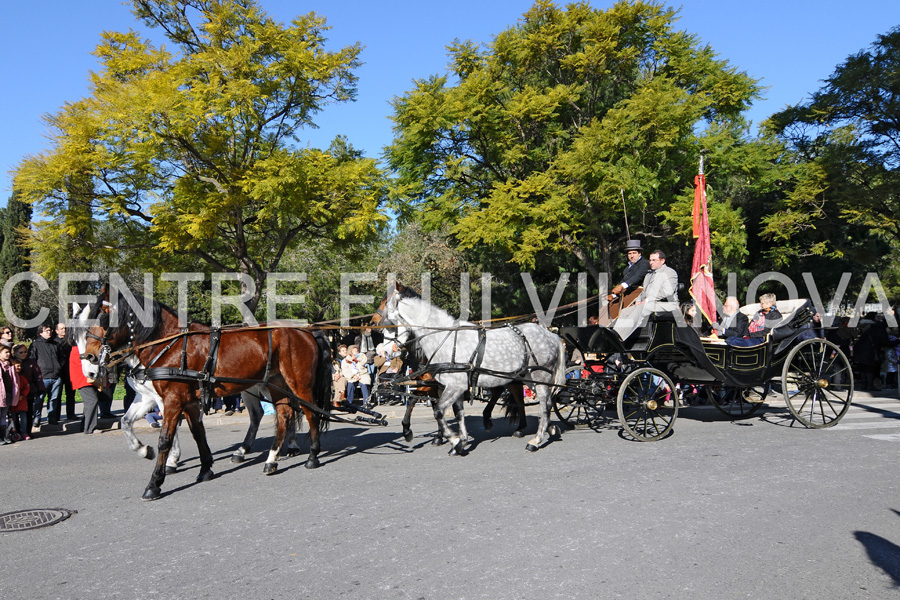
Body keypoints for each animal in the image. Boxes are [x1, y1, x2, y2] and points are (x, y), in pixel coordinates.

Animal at [70, 288, 330, 502]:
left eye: (103, 317)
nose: (90, 361)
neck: (170, 345)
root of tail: (306, 330)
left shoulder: (171, 400)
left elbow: (165, 439)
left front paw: (155, 482)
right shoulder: (184, 402)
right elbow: (197, 434)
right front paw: (204, 469)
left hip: (299, 384)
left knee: (310, 413)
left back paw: (312, 456)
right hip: (275, 384)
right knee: (283, 415)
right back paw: (271, 459)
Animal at [376, 284, 568, 452]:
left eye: (391, 323)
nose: (385, 351)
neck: (445, 340)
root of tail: (551, 335)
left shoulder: (454, 386)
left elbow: (438, 411)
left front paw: (453, 440)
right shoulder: (452, 387)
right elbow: (458, 413)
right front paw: (461, 440)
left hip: (540, 378)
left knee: (544, 406)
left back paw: (536, 440)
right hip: (527, 378)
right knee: (539, 402)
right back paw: (548, 429)